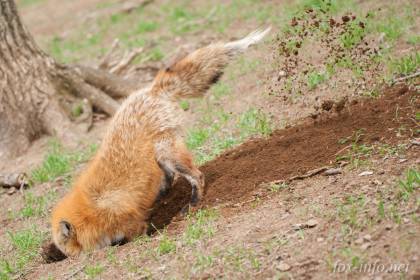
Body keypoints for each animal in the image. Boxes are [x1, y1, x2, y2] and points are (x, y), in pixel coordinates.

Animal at [50, 27, 270, 258]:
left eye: (67, 249)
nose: (67, 259)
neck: (91, 211)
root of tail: (152, 89)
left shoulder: (130, 221)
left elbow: (136, 233)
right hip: (161, 155)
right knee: (170, 177)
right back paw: (161, 195)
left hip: (166, 152)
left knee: (197, 176)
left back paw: (192, 204)